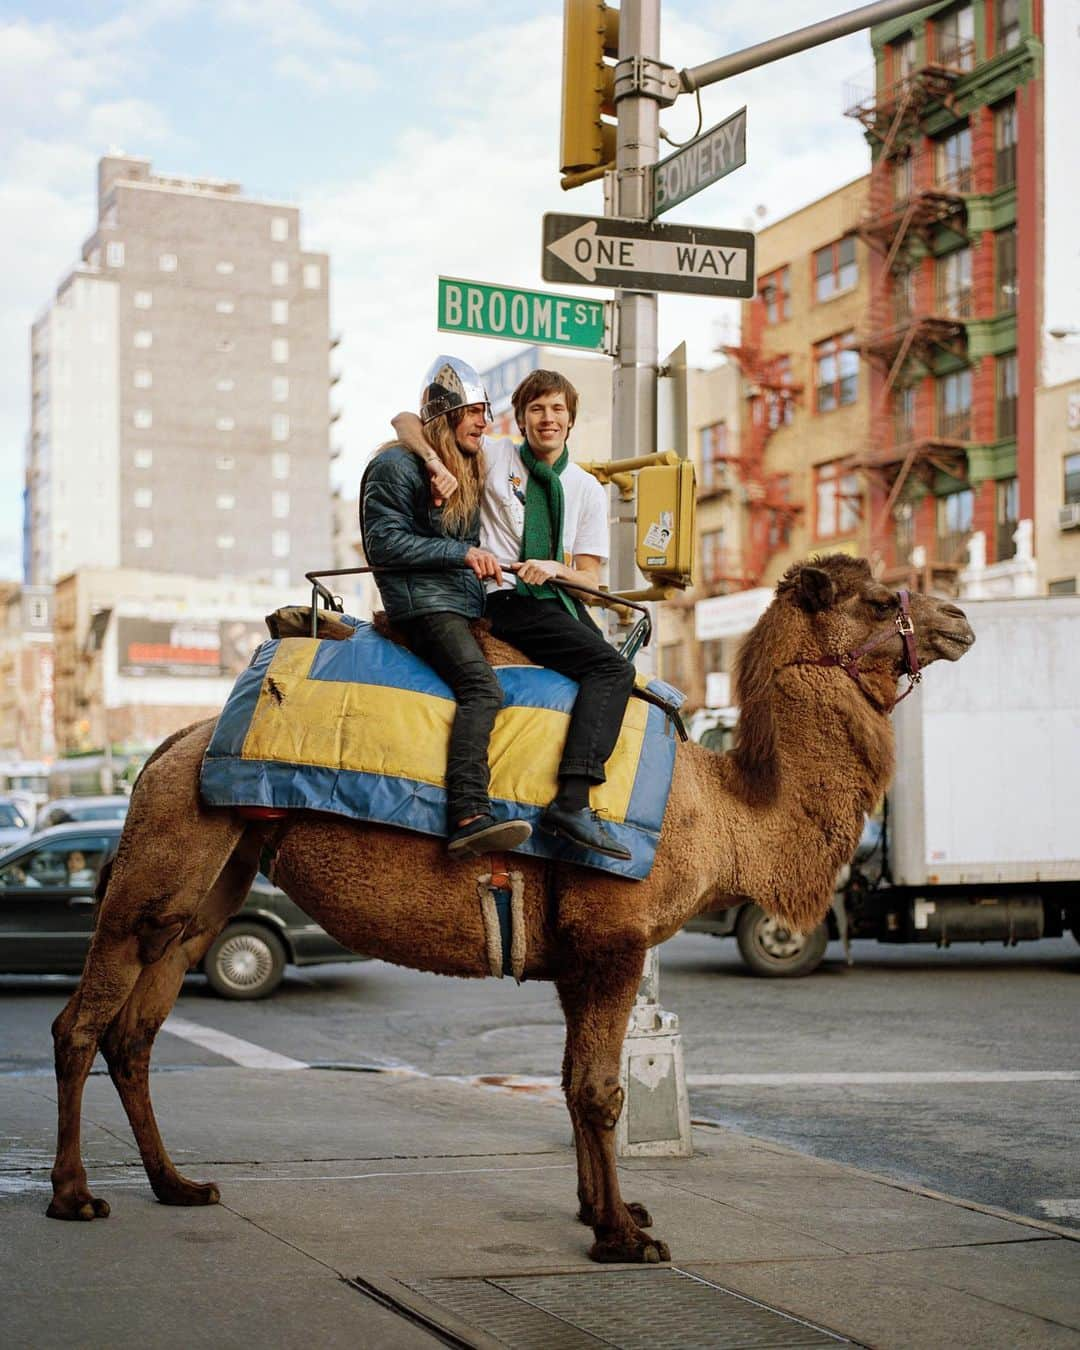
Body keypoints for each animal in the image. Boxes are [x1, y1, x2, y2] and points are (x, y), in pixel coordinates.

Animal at [42, 550, 972, 1263]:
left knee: (137, 1029)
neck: (727, 810)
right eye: (880, 598)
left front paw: (605, 1213)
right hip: (165, 848)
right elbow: (601, 1091)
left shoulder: (573, 954)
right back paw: (75, 1195)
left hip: (212, 873)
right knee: (79, 1024)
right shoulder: (614, 937)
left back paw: (175, 1184)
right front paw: (625, 1241)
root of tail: (166, 748)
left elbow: (568, 1083)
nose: (960, 619)